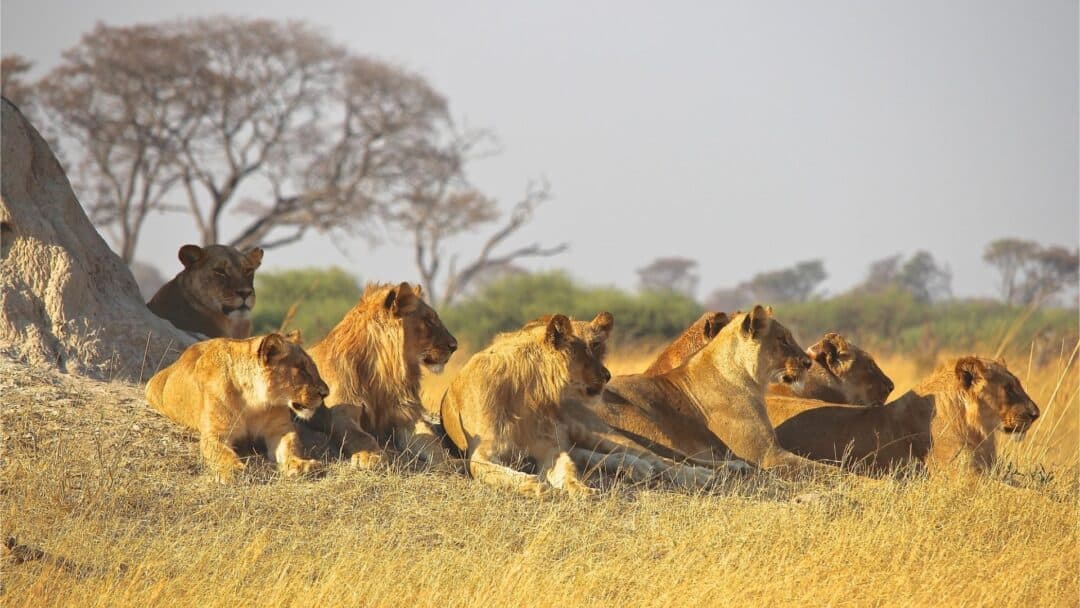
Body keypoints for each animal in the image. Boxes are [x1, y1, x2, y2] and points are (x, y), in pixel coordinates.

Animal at [144, 332, 327, 482]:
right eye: (302, 369)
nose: (326, 393)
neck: (253, 402)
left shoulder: (280, 429)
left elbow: (290, 446)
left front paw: (301, 465)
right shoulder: (215, 434)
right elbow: (222, 453)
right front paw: (234, 470)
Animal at [301, 282, 458, 468]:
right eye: (428, 320)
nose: (455, 346)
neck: (382, 374)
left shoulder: (407, 415)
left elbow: (432, 441)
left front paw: (450, 462)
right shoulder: (340, 412)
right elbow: (359, 436)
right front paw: (370, 456)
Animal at [440, 314, 611, 496]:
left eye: (596, 345)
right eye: (583, 349)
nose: (608, 376)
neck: (526, 392)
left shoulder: (549, 446)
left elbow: (568, 469)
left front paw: (583, 489)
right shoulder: (482, 452)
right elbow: (504, 474)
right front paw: (539, 487)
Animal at [591, 305, 837, 477]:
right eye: (783, 340)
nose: (807, 362)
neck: (751, 380)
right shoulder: (766, 454)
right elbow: (823, 468)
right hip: (646, 424)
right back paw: (736, 467)